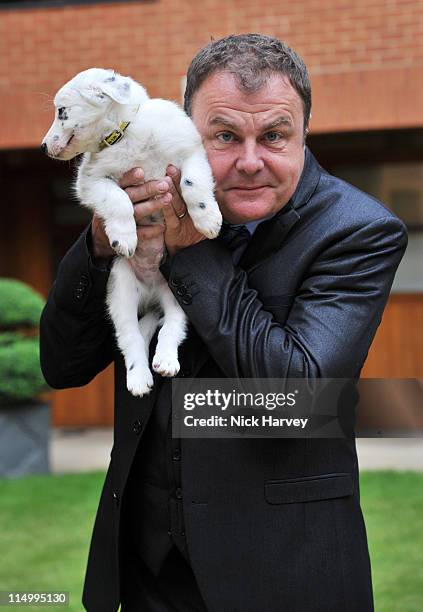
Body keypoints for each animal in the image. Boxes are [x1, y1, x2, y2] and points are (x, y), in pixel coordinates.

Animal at [42, 67, 222, 396]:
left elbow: (192, 184)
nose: (43, 147)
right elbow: (120, 200)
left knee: (173, 327)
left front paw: (207, 220)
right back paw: (140, 378)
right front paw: (124, 238)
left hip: (177, 296)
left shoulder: (190, 153)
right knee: (130, 338)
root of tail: (152, 293)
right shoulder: (91, 182)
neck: (122, 137)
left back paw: (166, 360)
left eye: (62, 112)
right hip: (121, 290)